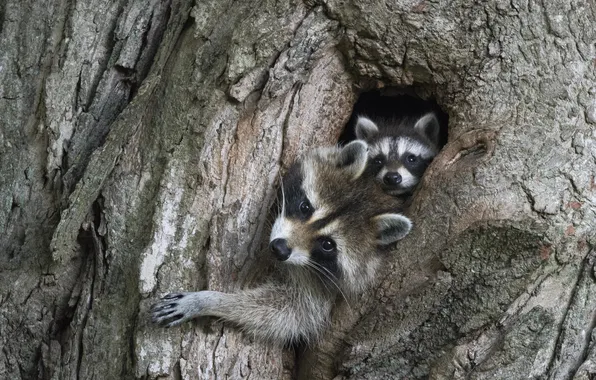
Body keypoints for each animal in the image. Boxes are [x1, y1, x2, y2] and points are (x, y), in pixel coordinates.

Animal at [150, 141, 410, 346]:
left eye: (327, 244)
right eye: (305, 207)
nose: (279, 248)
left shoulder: (319, 283)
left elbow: (291, 315)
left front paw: (212, 301)